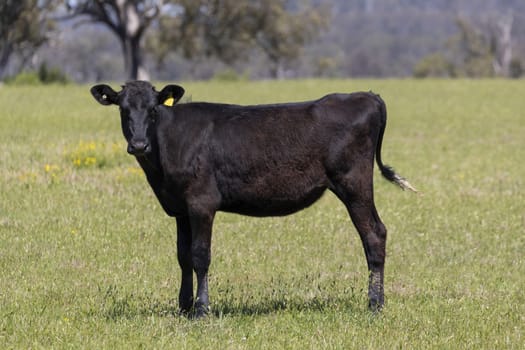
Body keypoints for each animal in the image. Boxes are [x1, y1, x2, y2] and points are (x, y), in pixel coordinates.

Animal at [92, 80, 416, 318]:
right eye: (123, 109)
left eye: (153, 110)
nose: (138, 144)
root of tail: (365, 95)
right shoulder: (180, 207)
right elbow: (182, 256)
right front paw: (183, 307)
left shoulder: (201, 202)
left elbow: (200, 255)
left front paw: (201, 309)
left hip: (354, 183)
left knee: (373, 234)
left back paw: (374, 304)